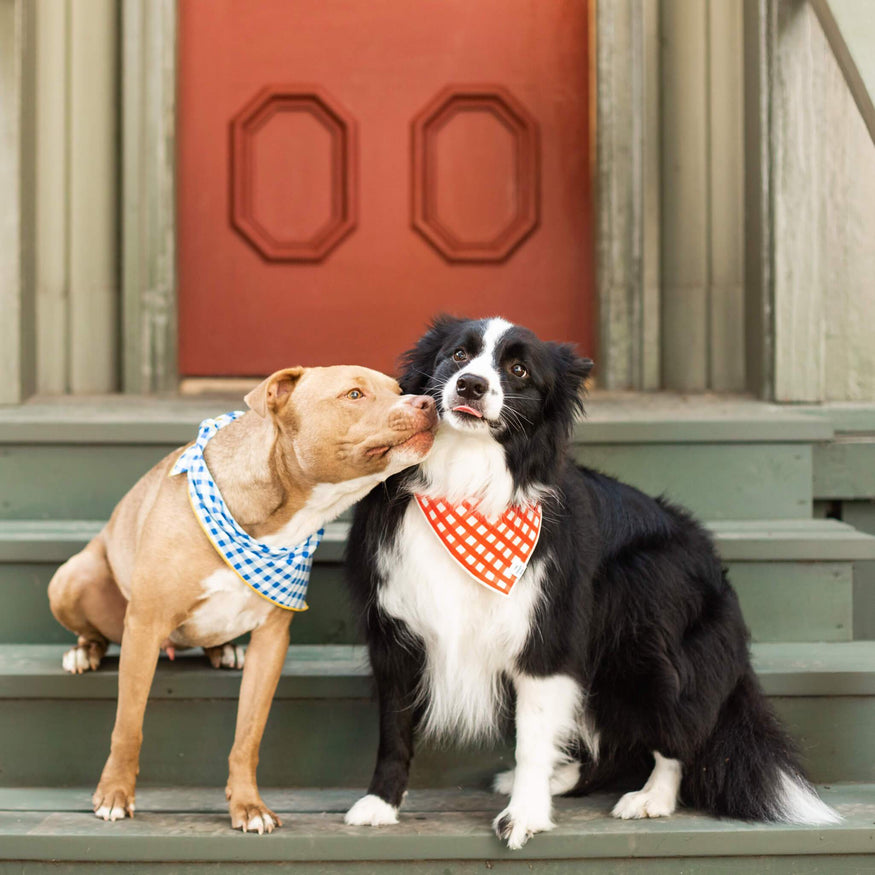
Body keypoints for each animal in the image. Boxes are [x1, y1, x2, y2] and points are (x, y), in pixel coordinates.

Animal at [48, 368, 438, 836]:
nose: (429, 402)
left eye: (399, 390)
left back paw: (225, 651)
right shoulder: (144, 625)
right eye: (354, 394)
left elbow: (248, 735)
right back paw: (83, 652)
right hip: (72, 578)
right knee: (92, 632)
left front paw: (248, 806)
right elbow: (128, 723)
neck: (277, 520)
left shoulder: (271, 642)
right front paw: (115, 794)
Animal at [342, 316, 836, 848]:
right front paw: (381, 804)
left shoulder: (547, 639)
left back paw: (652, 797)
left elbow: (531, 738)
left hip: (643, 644)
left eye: (518, 370)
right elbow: (395, 729)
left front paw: (525, 815)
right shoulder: (397, 632)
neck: (465, 485)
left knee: (678, 732)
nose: (471, 385)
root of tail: (708, 555)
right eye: (457, 355)